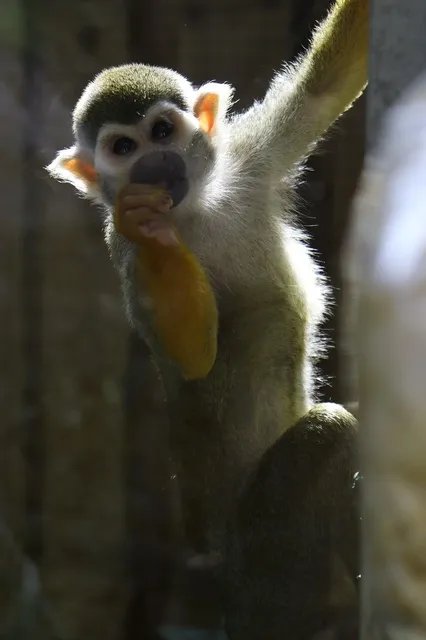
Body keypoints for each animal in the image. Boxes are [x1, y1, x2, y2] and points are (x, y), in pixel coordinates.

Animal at [47, 0, 367, 637]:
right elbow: (195, 359)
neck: (193, 206)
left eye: (161, 132)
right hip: (263, 555)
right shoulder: (119, 252)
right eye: (122, 149)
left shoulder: (248, 155)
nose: (153, 163)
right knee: (333, 431)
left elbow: (329, 84)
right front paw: (148, 226)